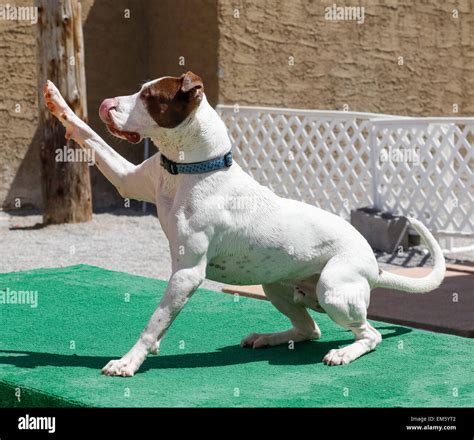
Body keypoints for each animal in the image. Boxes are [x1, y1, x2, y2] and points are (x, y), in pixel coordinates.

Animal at [42, 70, 446, 376]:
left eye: (149, 96)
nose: (106, 105)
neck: (191, 169)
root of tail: (375, 265)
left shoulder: (187, 273)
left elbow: (153, 323)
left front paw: (129, 362)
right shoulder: (127, 179)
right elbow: (91, 137)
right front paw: (59, 102)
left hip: (333, 287)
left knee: (369, 334)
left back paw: (344, 352)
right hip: (276, 287)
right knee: (310, 328)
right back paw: (270, 337)